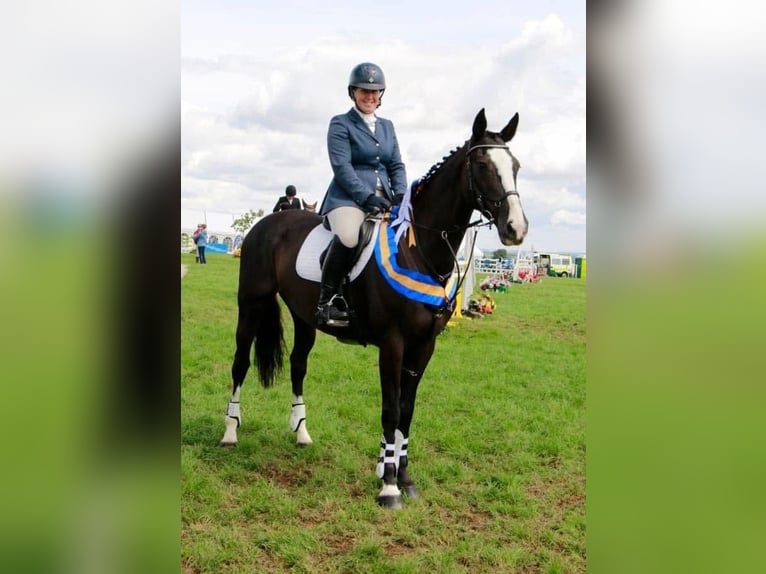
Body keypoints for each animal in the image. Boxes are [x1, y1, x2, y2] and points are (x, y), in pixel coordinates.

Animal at [219, 110, 524, 510]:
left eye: (515, 166)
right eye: (484, 165)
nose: (516, 228)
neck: (418, 249)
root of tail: (266, 224)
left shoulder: (424, 345)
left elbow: (406, 411)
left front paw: (404, 477)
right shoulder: (393, 344)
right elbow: (390, 408)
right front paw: (389, 487)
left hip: (304, 316)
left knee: (298, 365)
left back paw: (302, 433)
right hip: (251, 305)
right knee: (240, 363)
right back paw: (229, 433)